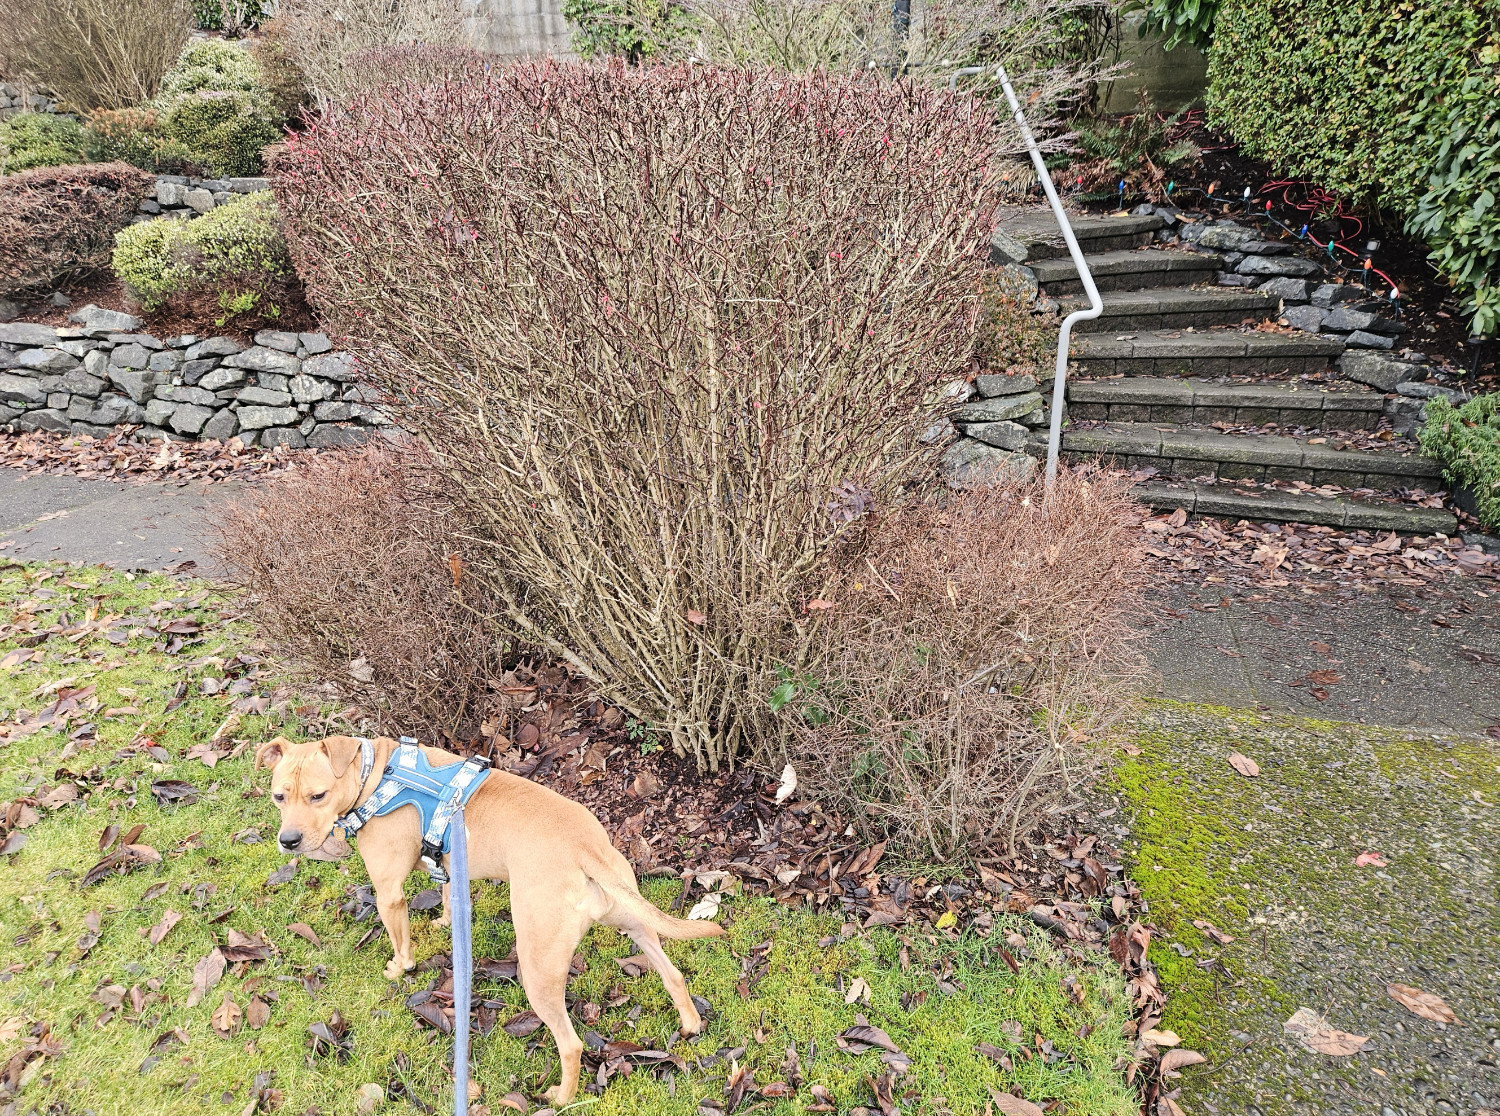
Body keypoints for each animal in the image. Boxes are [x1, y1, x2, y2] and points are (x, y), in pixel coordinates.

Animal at [258, 732, 726, 1110]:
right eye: (279, 797)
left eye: (318, 795)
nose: (288, 841)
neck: (376, 775)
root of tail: (585, 846)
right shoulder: (450, 868)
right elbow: (449, 900)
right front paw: (443, 923)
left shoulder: (389, 893)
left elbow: (400, 944)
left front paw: (399, 968)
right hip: (633, 921)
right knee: (673, 974)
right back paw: (689, 1023)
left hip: (537, 970)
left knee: (571, 1044)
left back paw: (561, 1097)